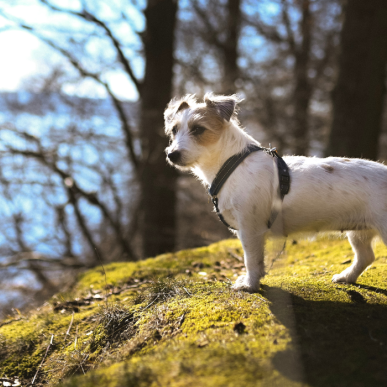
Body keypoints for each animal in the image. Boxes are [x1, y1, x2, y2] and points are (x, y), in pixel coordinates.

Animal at [164, 94, 387, 292]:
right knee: (366, 256)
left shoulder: (250, 228)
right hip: (359, 232)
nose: (172, 155)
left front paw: (250, 284)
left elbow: (251, 259)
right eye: (174, 130)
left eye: (198, 129)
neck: (232, 163)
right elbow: (258, 261)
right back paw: (346, 276)